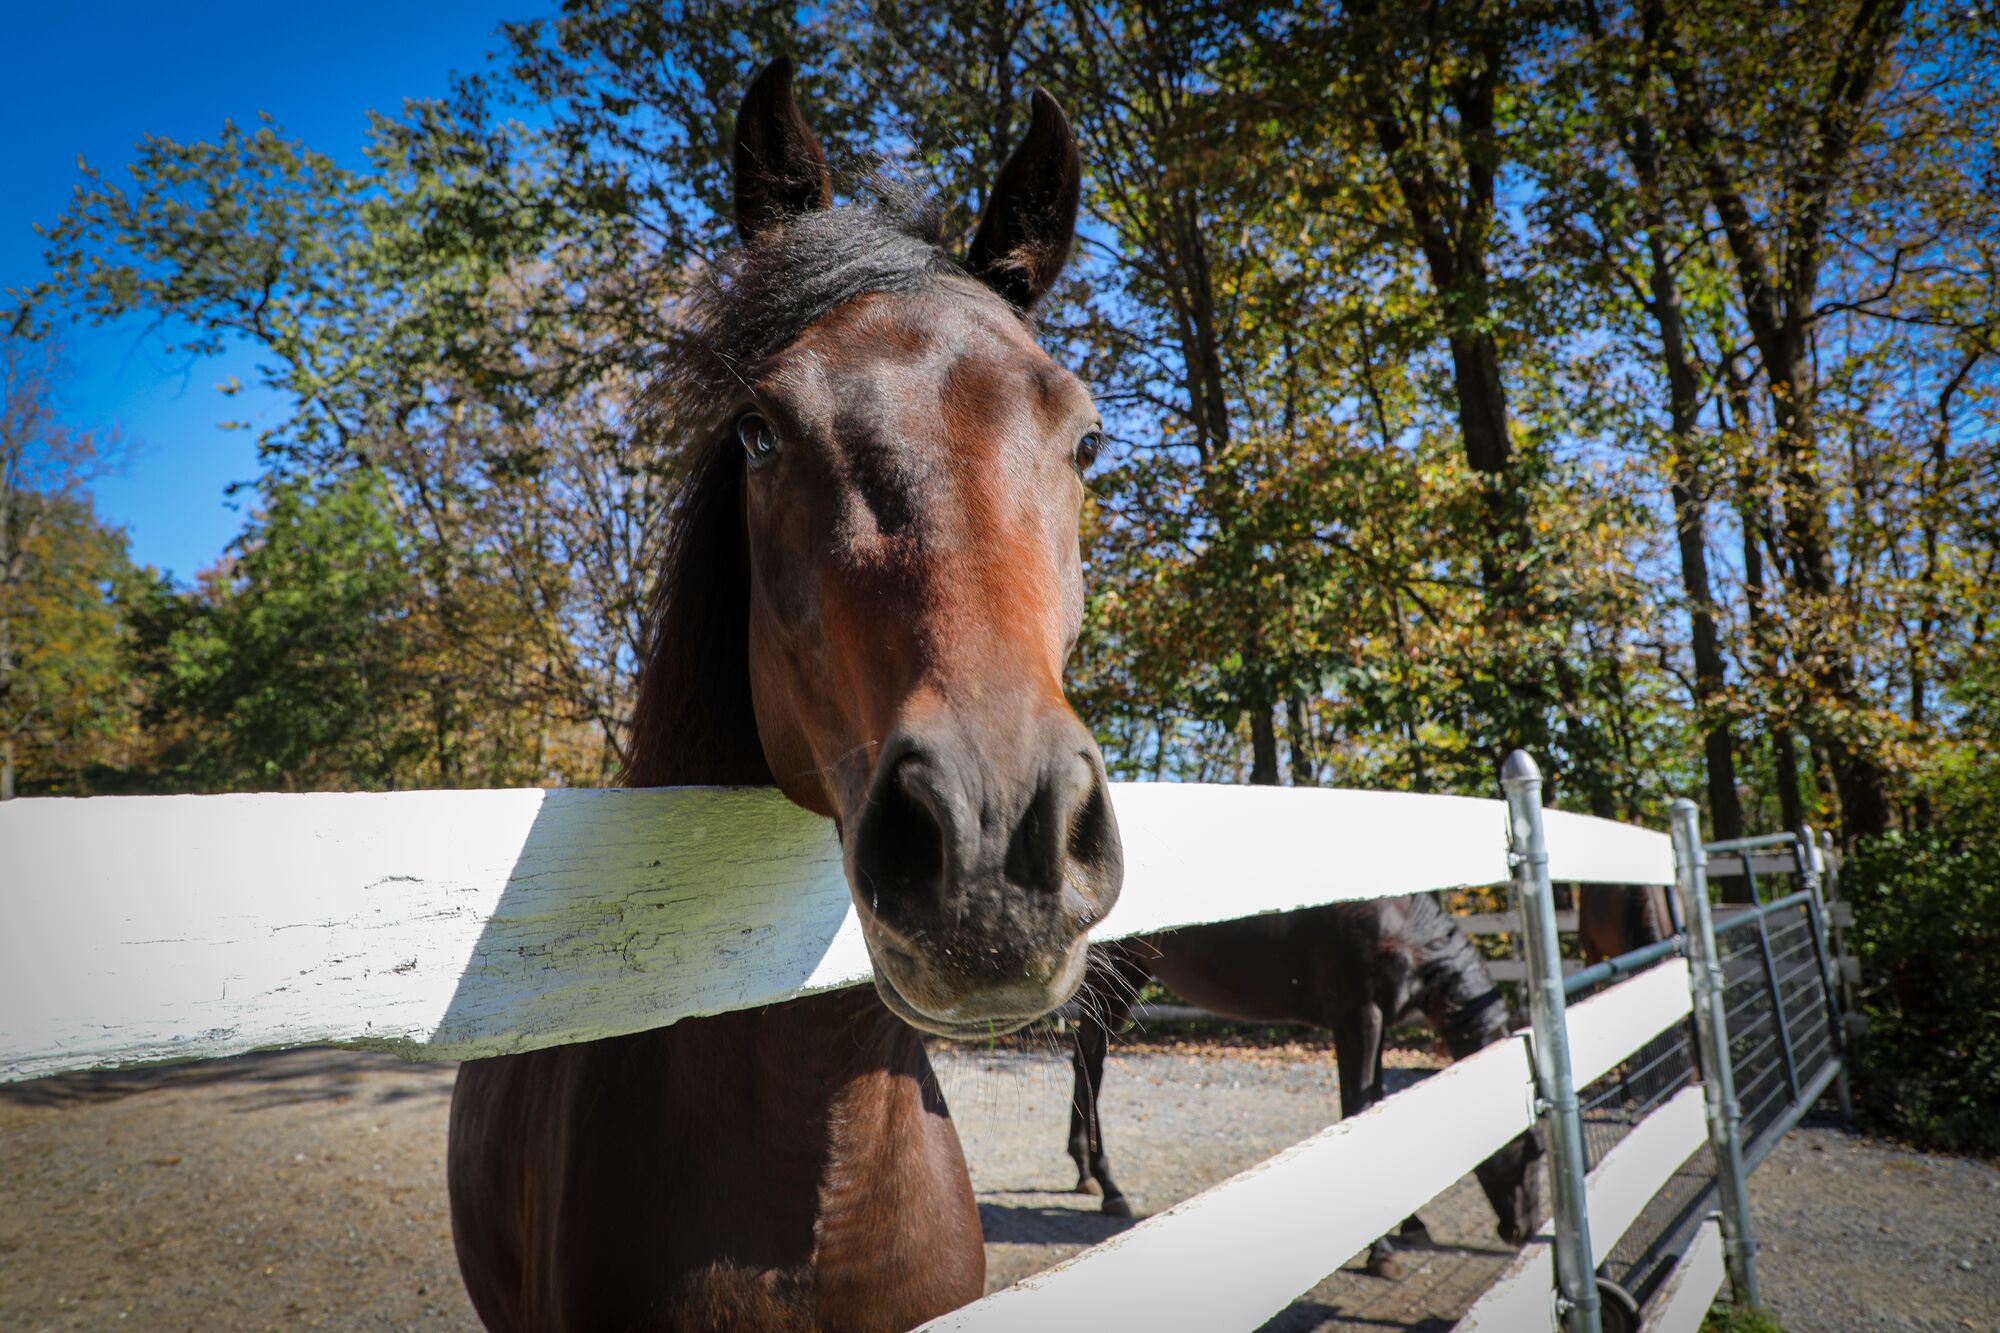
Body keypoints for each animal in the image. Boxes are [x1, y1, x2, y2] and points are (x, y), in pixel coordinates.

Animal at [1066, 895, 1544, 1280]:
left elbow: (1379, 1105)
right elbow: (1359, 1109)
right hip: (1110, 973)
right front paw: (1382, 1250)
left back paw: (1086, 1174)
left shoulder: (1377, 1023)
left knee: (1085, 1056)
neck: (1393, 921)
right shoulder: (1356, 1017)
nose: (1526, 1229)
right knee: (1092, 1058)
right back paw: (1109, 1186)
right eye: (1530, 1146)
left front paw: (1411, 1225)